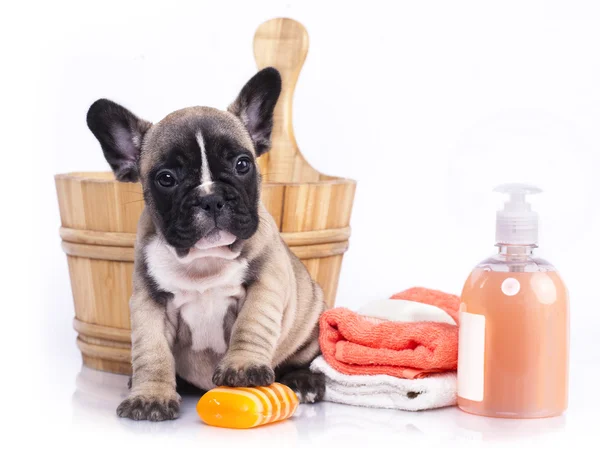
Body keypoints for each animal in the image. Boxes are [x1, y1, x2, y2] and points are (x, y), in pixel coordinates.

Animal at [86, 67, 326, 420]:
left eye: (242, 164)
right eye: (166, 178)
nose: (210, 198)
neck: (203, 260)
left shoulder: (265, 283)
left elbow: (252, 324)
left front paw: (243, 368)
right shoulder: (149, 303)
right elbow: (151, 351)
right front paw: (151, 396)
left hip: (310, 320)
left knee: (305, 356)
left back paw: (304, 380)